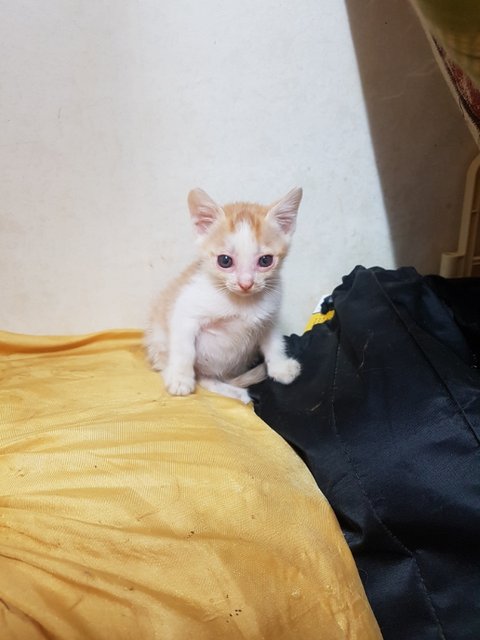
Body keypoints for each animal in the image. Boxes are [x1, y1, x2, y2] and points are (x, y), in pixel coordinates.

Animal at [145, 186, 303, 403]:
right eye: (225, 261)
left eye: (265, 260)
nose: (246, 283)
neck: (242, 302)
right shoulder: (185, 310)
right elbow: (184, 349)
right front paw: (180, 379)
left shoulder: (270, 317)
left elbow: (274, 342)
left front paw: (280, 368)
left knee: (209, 380)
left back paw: (237, 393)